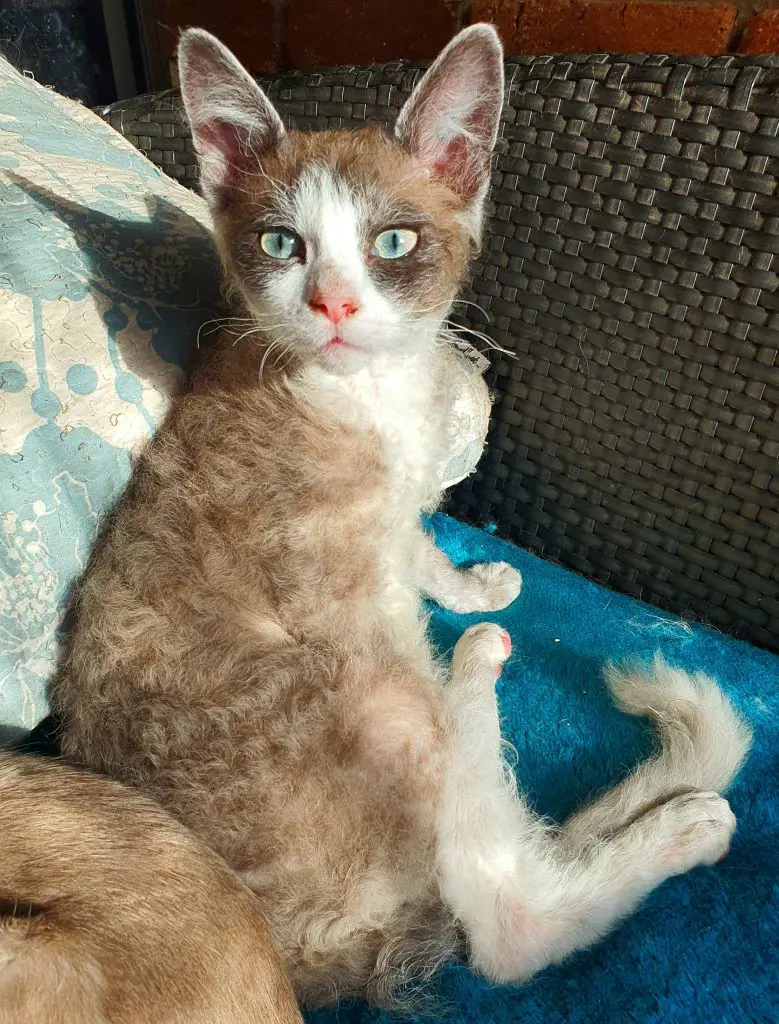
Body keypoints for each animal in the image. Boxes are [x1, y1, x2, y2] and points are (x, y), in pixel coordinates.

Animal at [50, 22, 753, 1007]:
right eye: (281, 243)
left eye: (391, 241)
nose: (334, 304)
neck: (368, 396)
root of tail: (305, 962)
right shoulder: (325, 581)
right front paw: (469, 615)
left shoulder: (396, 509)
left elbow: (415, 545)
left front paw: (468, 583)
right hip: (359, 694)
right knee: (503, 922)